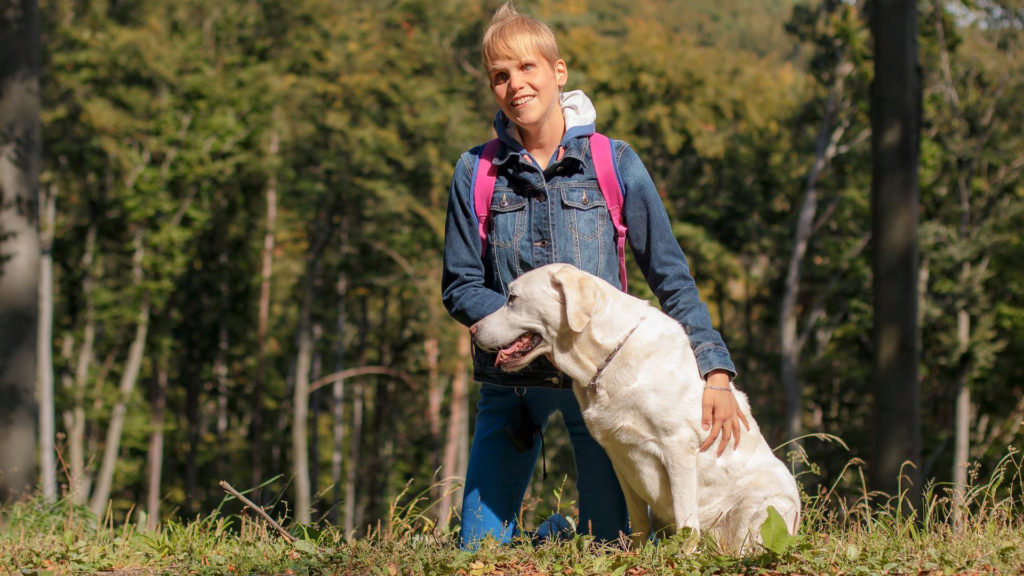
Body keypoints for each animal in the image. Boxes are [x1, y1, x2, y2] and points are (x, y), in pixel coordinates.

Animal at [471, 262, 798, 549]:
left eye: (512, 298)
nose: (472, 330)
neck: (605, 358)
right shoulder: (620, 455)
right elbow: (639, 521)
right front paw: (637, 556)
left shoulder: (678, 447)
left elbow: (686, 519)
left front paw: (683, 558)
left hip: (763, 502)